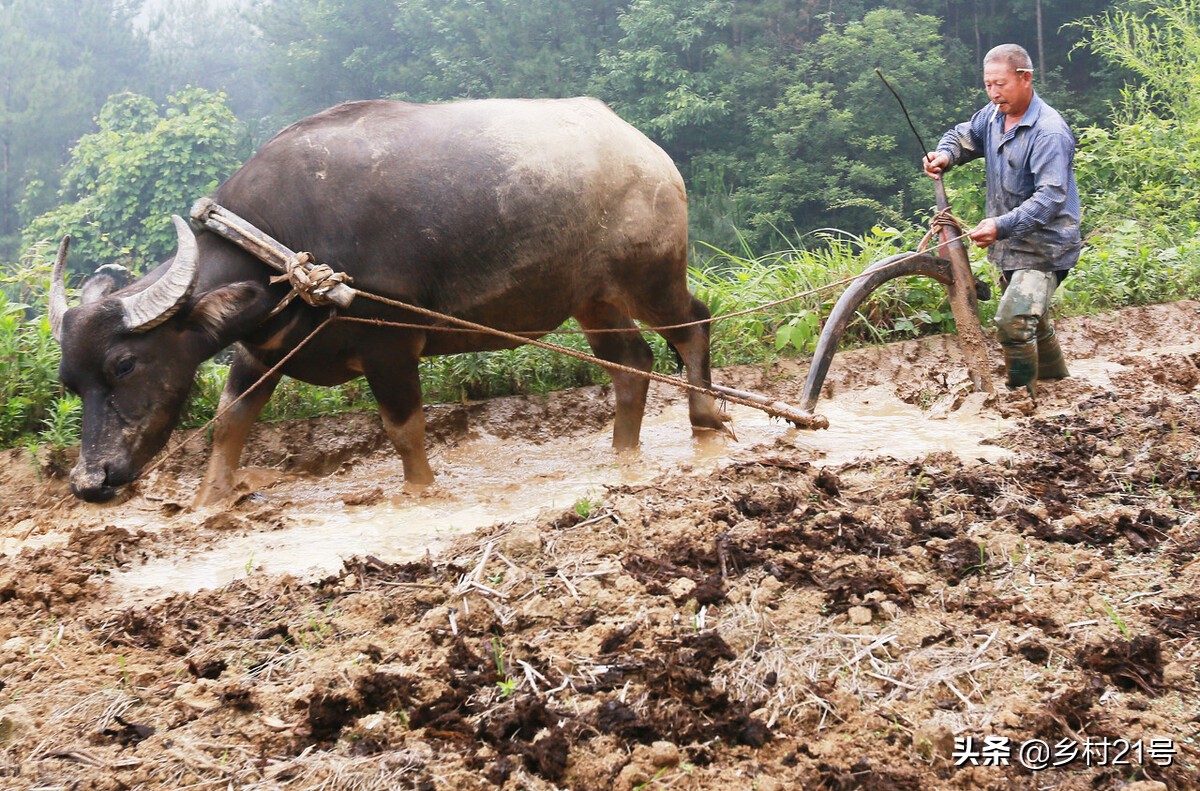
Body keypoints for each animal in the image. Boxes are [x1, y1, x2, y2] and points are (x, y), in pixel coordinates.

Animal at [49, 99, 729, 504]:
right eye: (70, 383)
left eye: (125, 365)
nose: (90, 481)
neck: (282, 242)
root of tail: (649, 153)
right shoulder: (262, 346)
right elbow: (229, 420)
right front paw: (208, 502)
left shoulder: (391, 343)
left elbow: (403, 429)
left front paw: (421, 491)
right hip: (593, 300)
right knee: (631, 363)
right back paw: (622, 453)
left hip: (651, 278)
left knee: (692, 325)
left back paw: (707, 425)